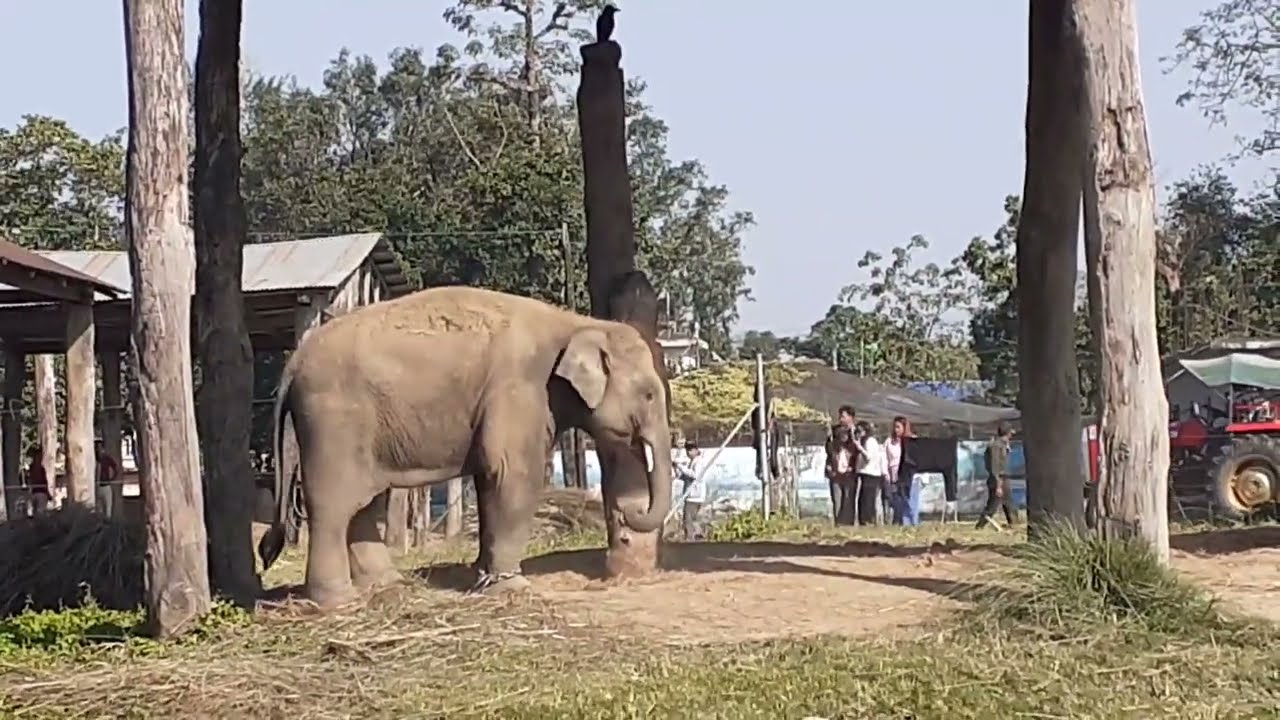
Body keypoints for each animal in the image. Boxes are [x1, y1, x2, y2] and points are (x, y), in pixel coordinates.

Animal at [256, 285, 674, 609]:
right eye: (650, 394)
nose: (629, 511)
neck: (578, 323)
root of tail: (294, 362)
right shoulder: (520, 389)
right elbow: (511, 474)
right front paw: (512, 587)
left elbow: (492, 480)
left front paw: (485, 578)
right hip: (335, 420)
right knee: (333, 505)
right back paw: (337, 601)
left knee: (363, 503)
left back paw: (387, 585)